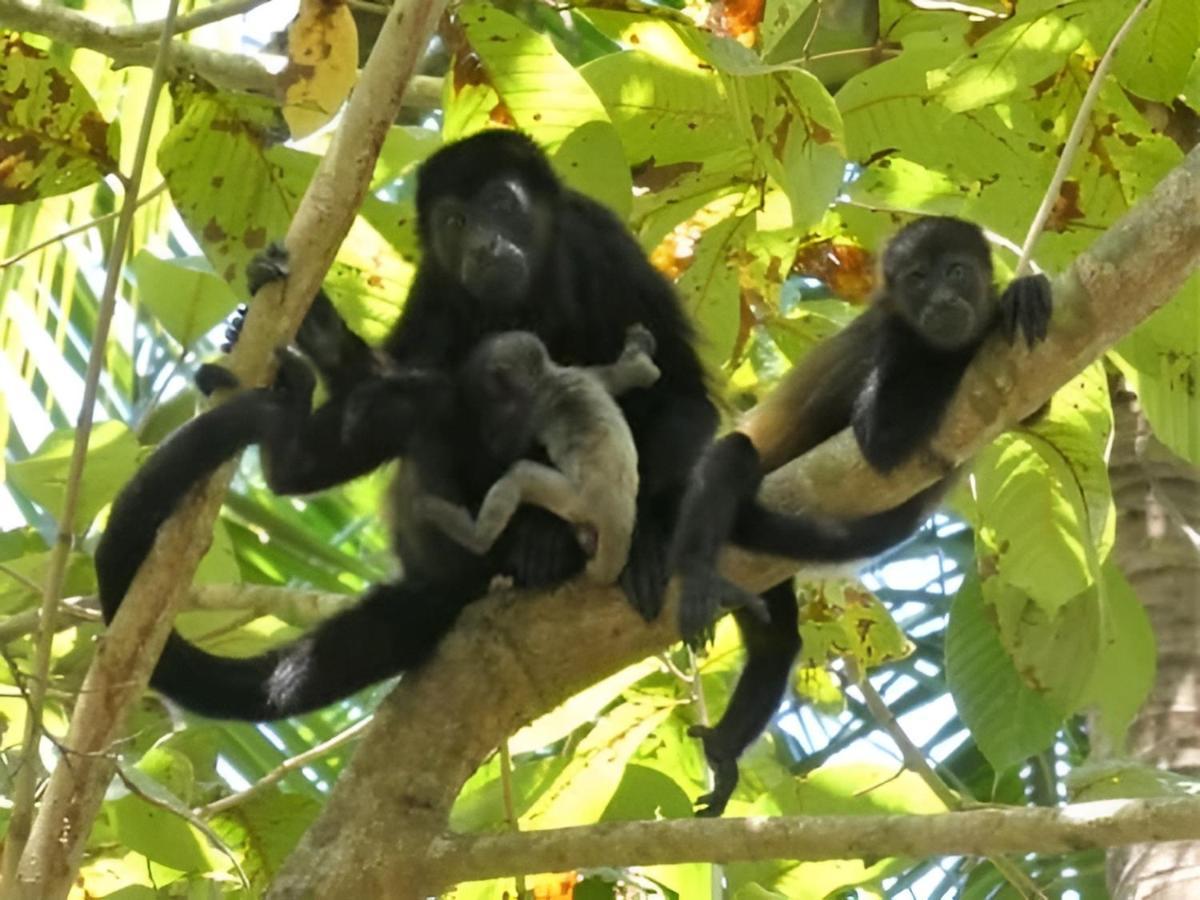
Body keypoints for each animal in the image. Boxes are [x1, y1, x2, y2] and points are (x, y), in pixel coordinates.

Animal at [420, 324, 667, 585]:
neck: (548, 377)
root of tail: (618, 512)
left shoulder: (532, 407)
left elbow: (503, 449)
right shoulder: (582, 374)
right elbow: (639, 374)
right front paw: (640, 356)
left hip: (575, 499)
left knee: (519, 474)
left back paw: (475, 536)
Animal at [672, 217, 1056, 816]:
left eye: (956, 271)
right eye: (918, 278)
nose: (942, 300)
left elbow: (1031, 410)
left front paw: (1023, 295)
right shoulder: (892, 342)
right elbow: (878, 439)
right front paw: (999, 312)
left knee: (776, 644)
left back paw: (725, 750)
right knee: (732, 453)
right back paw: (694, 577)